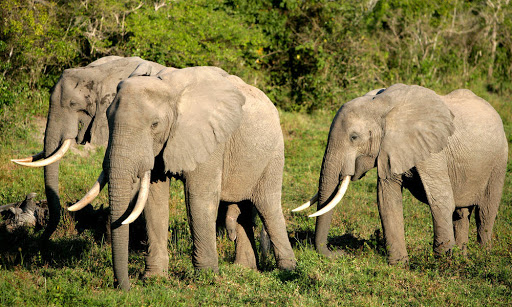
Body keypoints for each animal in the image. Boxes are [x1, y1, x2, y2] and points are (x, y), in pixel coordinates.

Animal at [72, 65, 296, 292]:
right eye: (108, 120)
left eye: (155, 125)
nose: (125, 288)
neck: (168, 88)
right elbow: (155, 201)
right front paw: (154, 279)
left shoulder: (209, 139)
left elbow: (199, 198)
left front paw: (206, 278)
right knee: (245, 210)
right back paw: (244, 269)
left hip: (273, 153)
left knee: (267, 206)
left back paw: (288, 270)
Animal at [296, 83, 508, 264]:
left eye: (354, 137)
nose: (339, 253)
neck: (382, 106)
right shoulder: (389, 149)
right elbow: (387, 200)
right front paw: (399, 265)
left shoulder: (432, 150)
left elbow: (440, 199)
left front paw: (442, 263)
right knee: (461, 214)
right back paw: (463, 257)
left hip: (499, 162)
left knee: (485, 212)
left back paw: (481, 256)